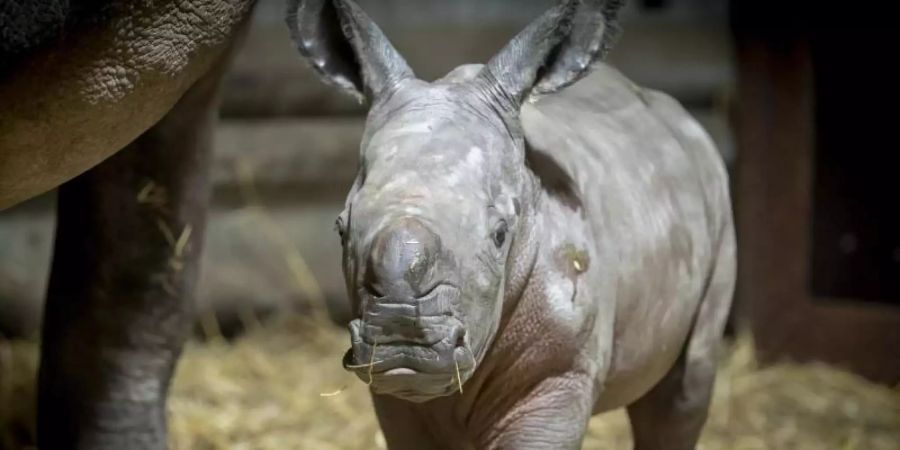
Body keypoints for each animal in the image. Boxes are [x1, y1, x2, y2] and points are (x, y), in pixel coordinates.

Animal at [292, 0, 736, 450]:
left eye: (500, 234)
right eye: (341, 229)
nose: (401, 340)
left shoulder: (558, 373)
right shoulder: (396, 399)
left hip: (715, 193)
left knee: (682, 393)